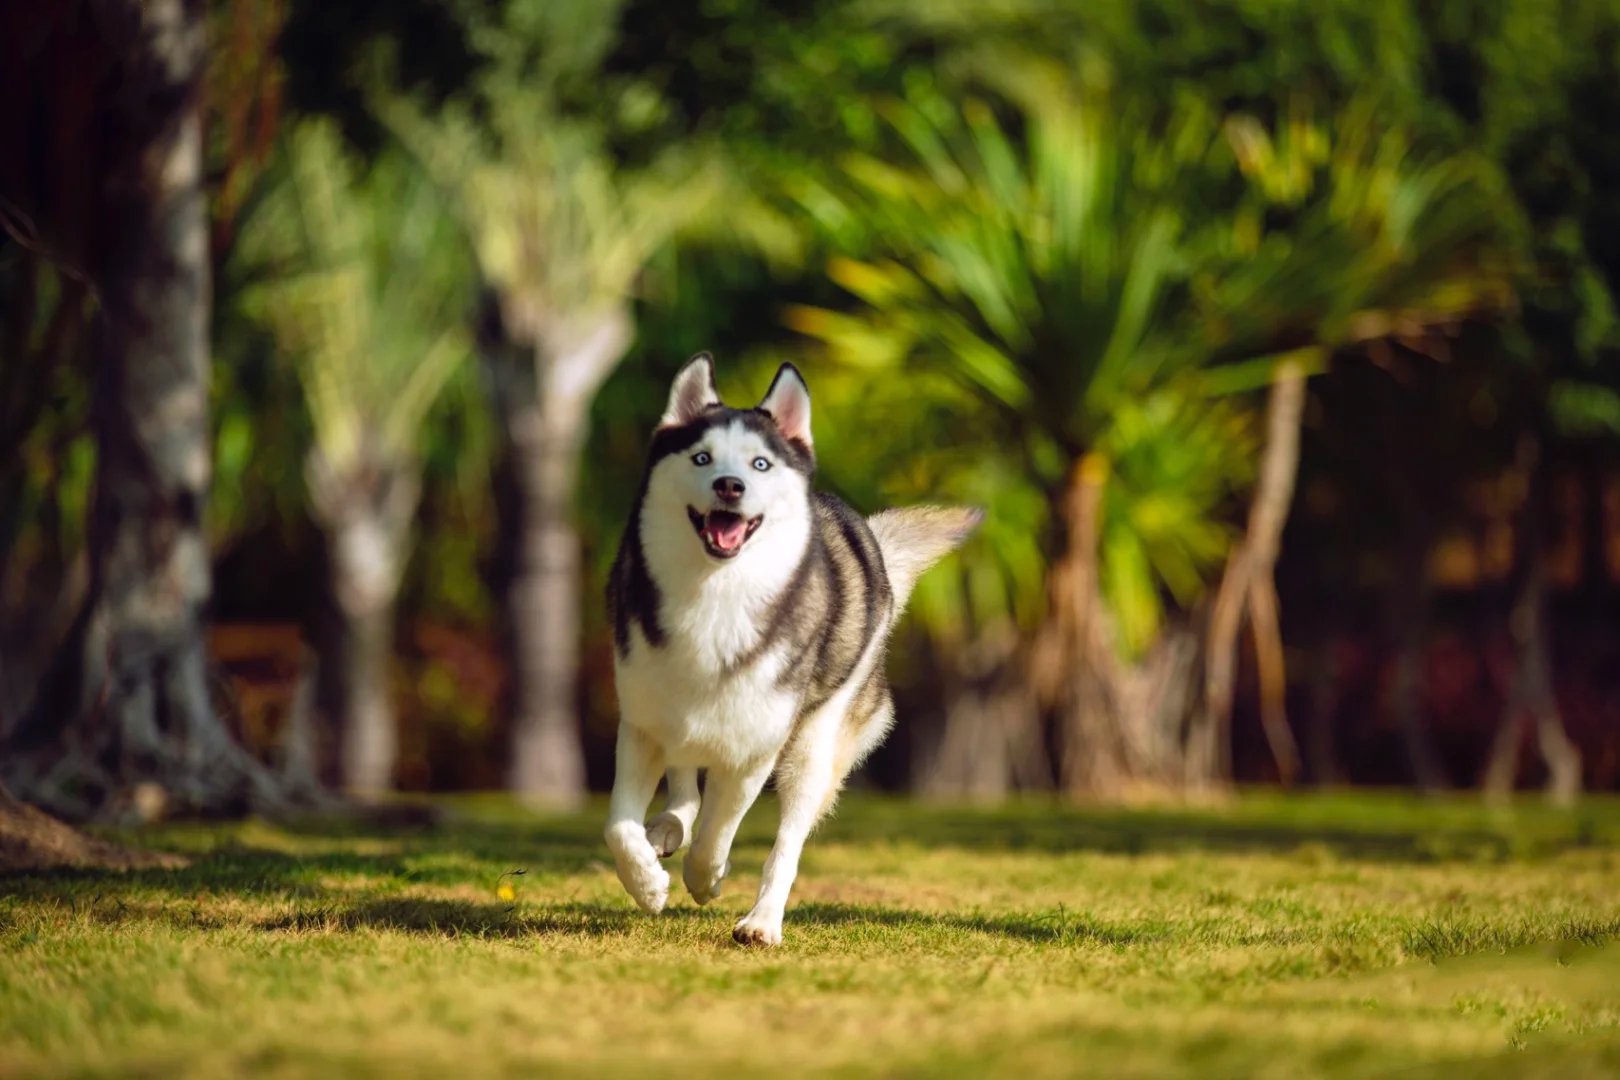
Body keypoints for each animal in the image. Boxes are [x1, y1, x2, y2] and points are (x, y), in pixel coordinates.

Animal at [609, 354, 978, 945]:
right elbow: (619, 824)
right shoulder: (641, 720)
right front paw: (645, 882)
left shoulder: (756, 747)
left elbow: (720, 831)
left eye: (760, 464)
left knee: (784, 840)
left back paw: (761, 919)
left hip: (813, 747)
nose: (729, 485)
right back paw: (667, 828)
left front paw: (707, 877)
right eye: (701, 457)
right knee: (686, 785)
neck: (715, 598)